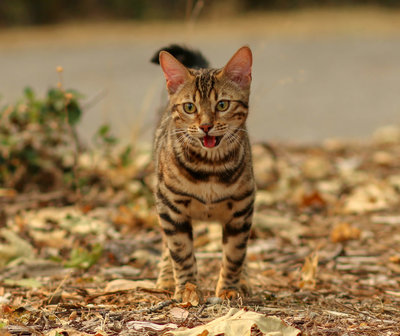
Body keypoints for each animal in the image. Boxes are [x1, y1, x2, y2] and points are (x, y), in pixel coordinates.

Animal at [152, 45, 255, 302]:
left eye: (222, 105)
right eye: (189, 107)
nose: (206, 126)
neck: (210, 168)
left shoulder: (242, 208)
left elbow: (235, 253)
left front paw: (229, 288)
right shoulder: (170, 207)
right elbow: (180, 251)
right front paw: (187, 289)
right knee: (166, 246)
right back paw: (165, 279)